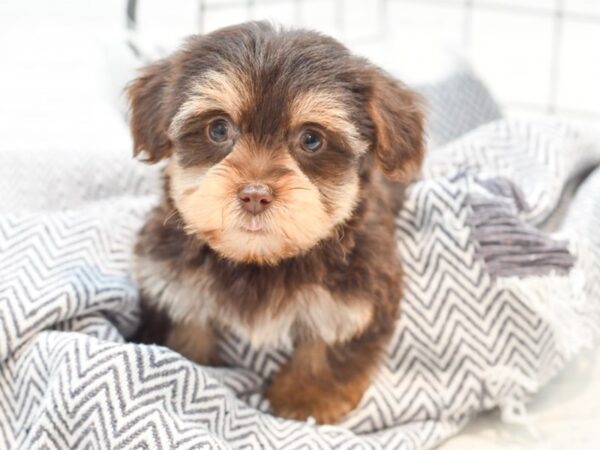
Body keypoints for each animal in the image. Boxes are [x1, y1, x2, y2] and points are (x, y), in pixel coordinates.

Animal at [129, 20, 424, 422]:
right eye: (218, 129)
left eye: (311, 139)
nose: (255, 194)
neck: (260, 262)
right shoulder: (170, 281)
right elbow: (187, 331)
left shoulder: (362, 289)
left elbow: (333, 339)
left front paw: (307, 397)